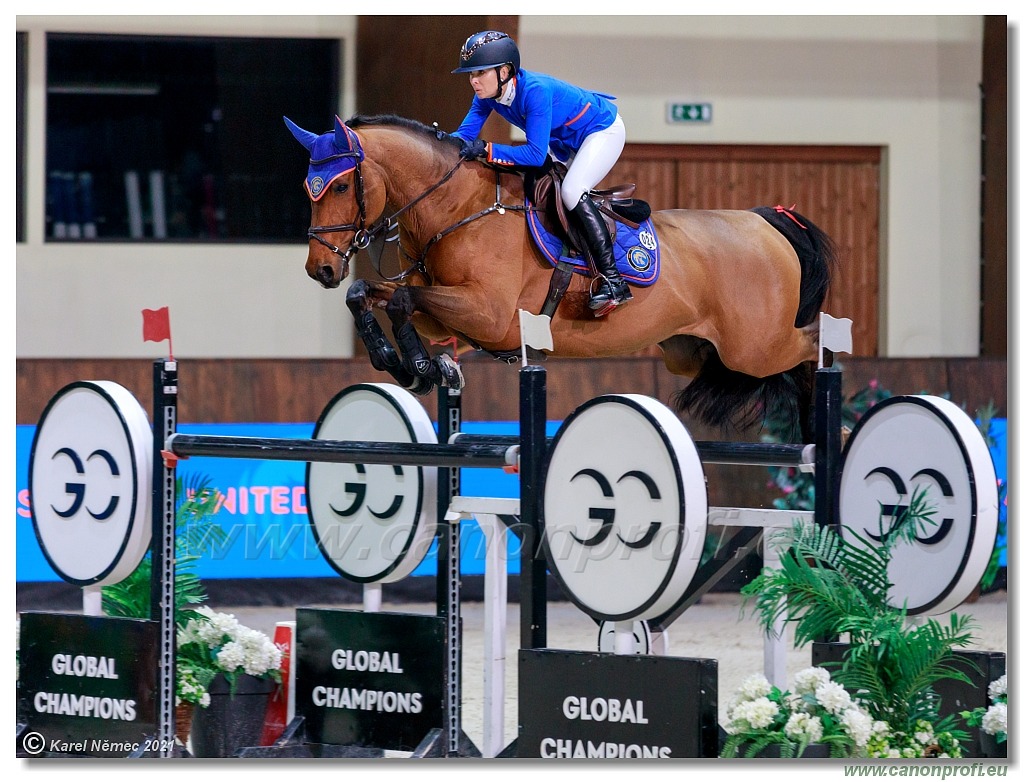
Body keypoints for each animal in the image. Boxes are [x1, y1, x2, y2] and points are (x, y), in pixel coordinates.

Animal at [284, 112, 835, 440]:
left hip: (755, 346)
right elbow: (369, 294)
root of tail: (766, 221)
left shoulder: (489, 315)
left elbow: (400, 301)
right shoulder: (442, 316)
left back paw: (822, 428)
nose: (320, 269)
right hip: (693, 353)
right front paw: (404, 364)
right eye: (307, 188)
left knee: (811, 347)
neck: (456, 209)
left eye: (338, 187)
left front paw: (421, 368)